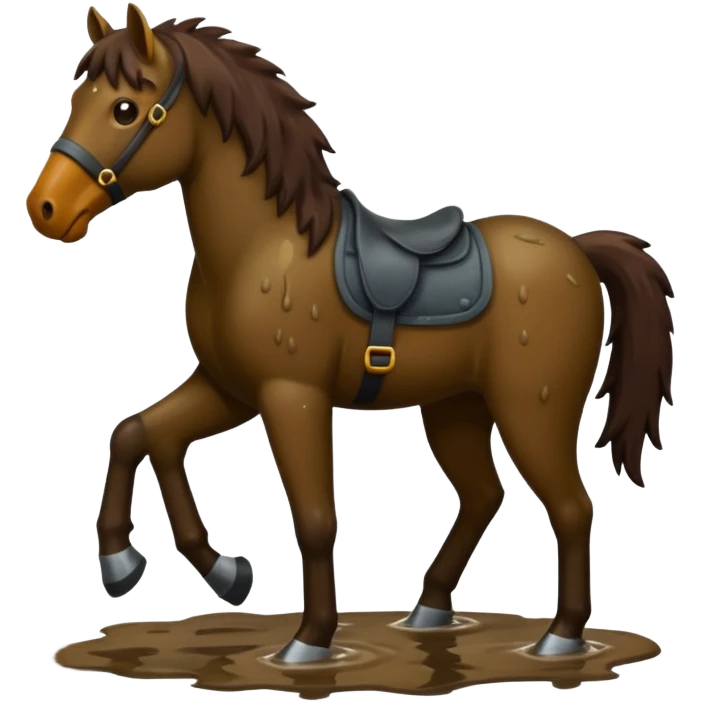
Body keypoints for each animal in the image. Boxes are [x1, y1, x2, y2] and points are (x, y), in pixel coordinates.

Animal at [25, 3, 674, 665]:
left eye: (124, 108)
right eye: (78, 97)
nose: (44, 209)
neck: (264, 247)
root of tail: (579, 251)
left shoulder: (291, 396)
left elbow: (314, 518)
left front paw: (309, 640)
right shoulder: (230, 388)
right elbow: (138, 433)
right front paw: (171, 566)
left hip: (532, 410)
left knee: (572, 507)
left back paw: (560, 637)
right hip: (456, 408)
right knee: (483, 497)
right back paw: (429, 612)